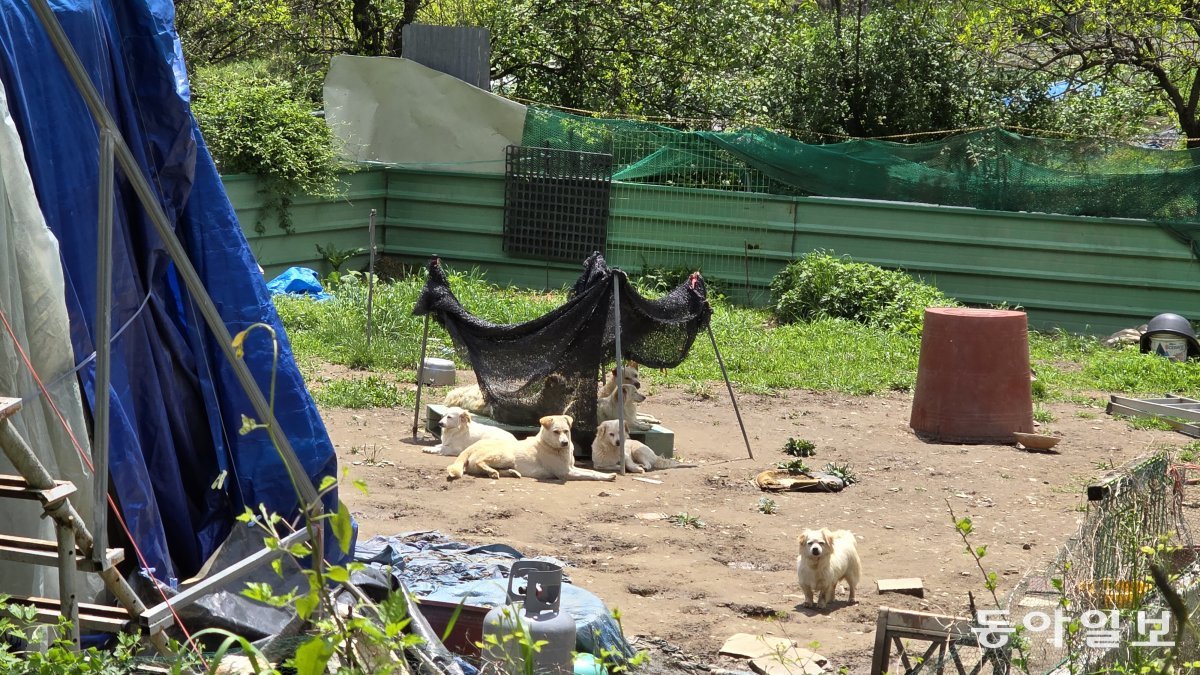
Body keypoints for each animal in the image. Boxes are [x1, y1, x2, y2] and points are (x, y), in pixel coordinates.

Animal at [446, 413, 614, 480]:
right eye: (556, 432)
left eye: (566, 431)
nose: (565, 442)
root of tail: (471, 448)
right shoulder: (566, 473)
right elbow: (591, 475)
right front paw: (606, 477)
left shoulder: (572, 468)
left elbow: (591, 471)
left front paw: (608, 475)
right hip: (506, 455)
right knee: (481, 463)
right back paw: (493, 472)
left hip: (507, 460)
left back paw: (511, 472)